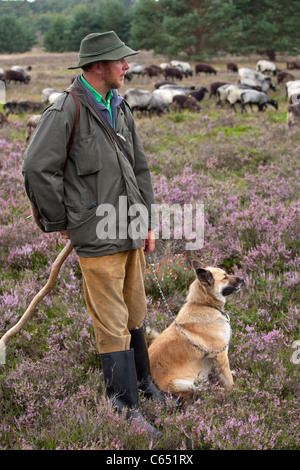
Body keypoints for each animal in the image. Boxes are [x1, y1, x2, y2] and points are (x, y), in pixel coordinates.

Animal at [148, 258, 244, 398]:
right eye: (225, 277)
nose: (242, 278)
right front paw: (235, 391)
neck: (205, 304)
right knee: (206, 391)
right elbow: (228, 378)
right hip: (184, 384)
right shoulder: (220, 354)